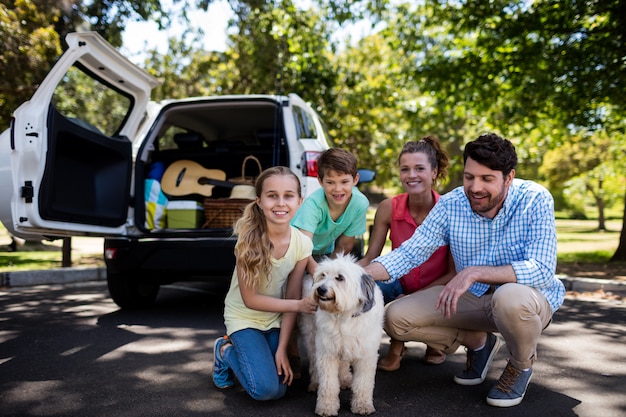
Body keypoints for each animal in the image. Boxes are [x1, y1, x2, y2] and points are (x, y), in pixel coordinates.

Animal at [300, 254, 382, 416]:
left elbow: (363, 383)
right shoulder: (327, 353)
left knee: (344, 364)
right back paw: (315, 383)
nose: (321, 289)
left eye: (340, 278)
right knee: (313, 362)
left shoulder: (366, 355)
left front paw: (362, 405)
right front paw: (326, 407)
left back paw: (345, 380)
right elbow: (328, 384)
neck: (343, 315)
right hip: (312, 337)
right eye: (323, 275)